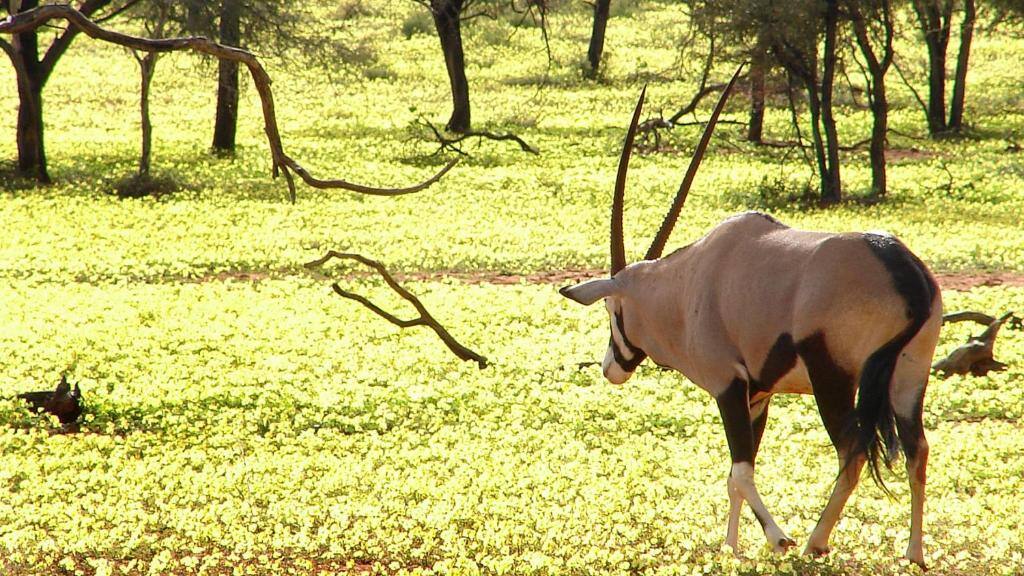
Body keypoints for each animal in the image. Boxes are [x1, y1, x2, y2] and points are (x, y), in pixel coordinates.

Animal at [561, 68, 942, 565]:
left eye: (612, 309)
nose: (611, 368)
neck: (688, 285)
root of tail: (906, 272)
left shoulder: (729, 385)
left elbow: (741, 471)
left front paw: (778, 538)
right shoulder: (758, 395)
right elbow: (735, 476)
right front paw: (730, 546)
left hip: (833, 379)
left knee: (853, 452)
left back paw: (817, 541)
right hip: (909, 376)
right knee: (918, 450)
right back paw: (913, 552)